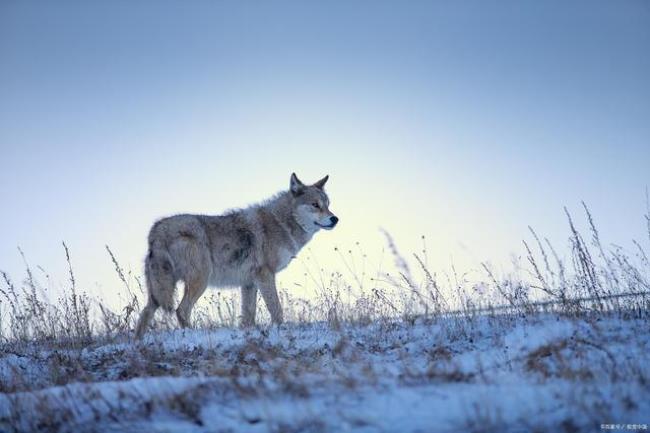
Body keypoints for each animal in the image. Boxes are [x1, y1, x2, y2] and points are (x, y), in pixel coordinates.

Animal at [137, 172, 340, 338]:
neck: (282, 222)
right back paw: (193, 336)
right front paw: (281, 331)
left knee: (144, 314)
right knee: (181, 310)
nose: (335, 219)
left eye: (328, 205)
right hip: (199, 281)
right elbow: (276, 309)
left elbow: (248, 317)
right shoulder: (265, 275)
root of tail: (156, 231)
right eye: (315, 205)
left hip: (159, 292)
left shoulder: (249, 283)